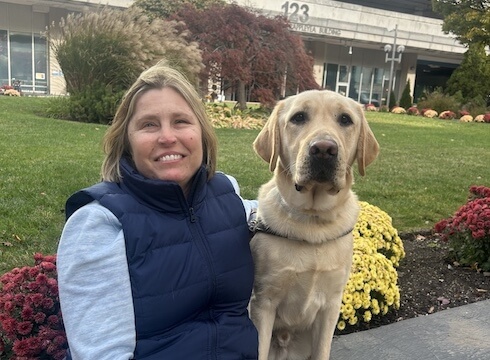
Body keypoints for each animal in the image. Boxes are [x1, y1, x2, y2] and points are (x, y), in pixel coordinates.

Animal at [249, 88, 378, 360]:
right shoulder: (263, 302)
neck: (312, 221)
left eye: (345, 119)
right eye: (298, 117)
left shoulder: (331, 306)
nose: (323, 149)